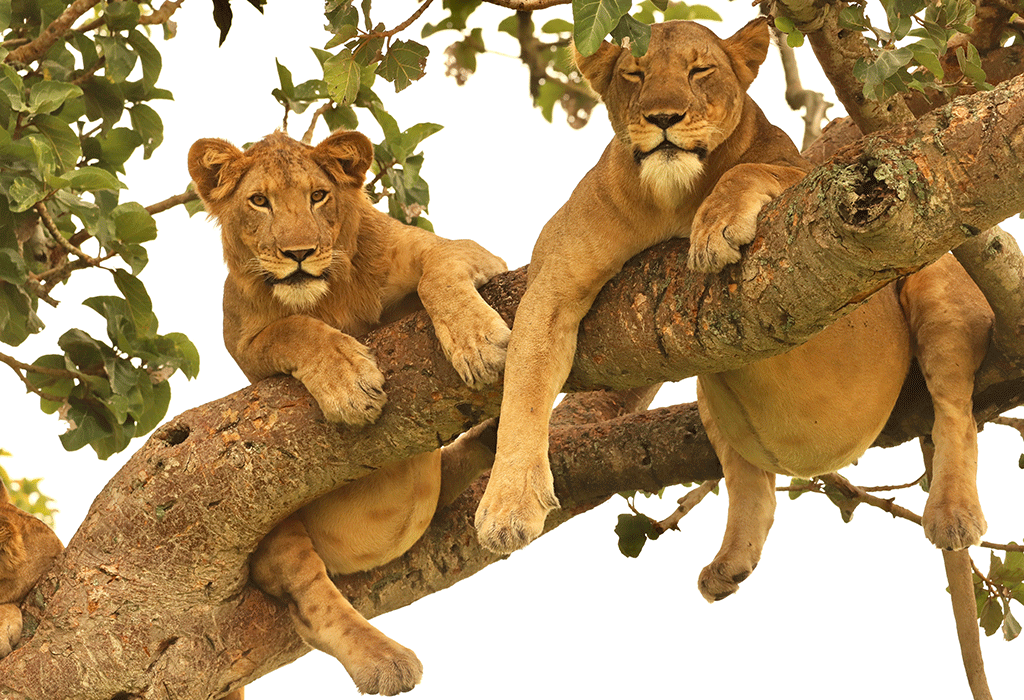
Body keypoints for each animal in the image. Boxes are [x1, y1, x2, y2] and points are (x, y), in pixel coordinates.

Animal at [188, 129, 510, 696]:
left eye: (318, 196)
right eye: (259, 201)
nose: (299, 254)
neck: (326, 296)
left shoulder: (458, 251)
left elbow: (440, 271)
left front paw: (476, 342)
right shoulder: (247, 348)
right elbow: (292, 329)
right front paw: (348, 383)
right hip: (277, 532)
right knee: (312, 605)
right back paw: (385, 660)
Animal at [473, 18, 992, 604]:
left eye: (701, 70)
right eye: (634, 74)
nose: (664, 118)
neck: (673, 199)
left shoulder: (823, 199)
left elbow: (754, 171)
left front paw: (714, 228)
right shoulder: (552, 290)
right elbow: (525, 385)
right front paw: (508, 507)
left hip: (936, 281)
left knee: (954, 410)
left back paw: (953, 513)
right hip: (716, 393)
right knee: (751, 481)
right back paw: (728, 565)